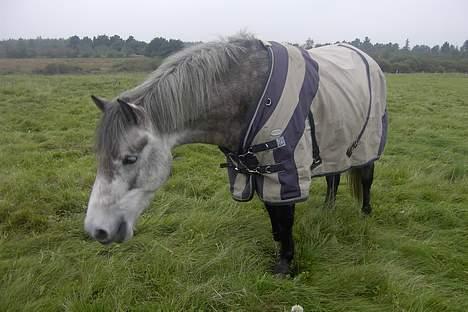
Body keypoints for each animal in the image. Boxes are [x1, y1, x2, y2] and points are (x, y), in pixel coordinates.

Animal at [84, 33, 388, 274]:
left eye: (130, 158)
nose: (96, 230)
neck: (250, 96)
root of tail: (369, 59)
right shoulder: (257, 169)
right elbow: (274, 215)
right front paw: (279, 248)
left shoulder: (283, 169)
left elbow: (285, 217)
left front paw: (285, 264)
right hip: (334, 142)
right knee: (333, 176)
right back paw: (328, 208)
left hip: (367, 143)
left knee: (366, 178)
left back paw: (365, 213)